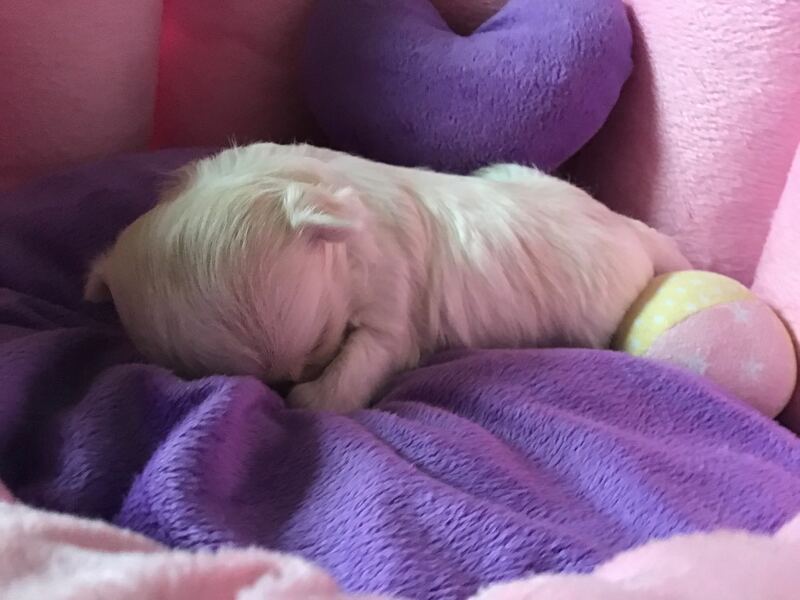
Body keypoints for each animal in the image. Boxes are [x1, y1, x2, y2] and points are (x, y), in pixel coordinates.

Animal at [84, 142, 690, 412]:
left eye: (320, 344)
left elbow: (352, 370)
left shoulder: (390, 309)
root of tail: (631, 231)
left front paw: (309, 396)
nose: (278, 386)